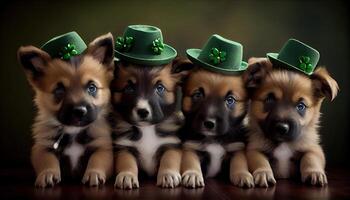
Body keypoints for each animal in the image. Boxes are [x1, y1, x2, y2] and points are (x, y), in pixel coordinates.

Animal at [17, 32, 115, 187]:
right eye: (59, 90)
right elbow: (47, 161)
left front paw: (94, 173)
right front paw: (47, 174)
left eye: (92, 87)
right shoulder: (42, 148)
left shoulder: (103, 148)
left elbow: (97, 160)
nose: (79, 111)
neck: (73, 130)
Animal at [110, 57, 191, 189]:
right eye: (129, 88)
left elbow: (169, 159)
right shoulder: (124, 147)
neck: (147, 129)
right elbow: (126, 162)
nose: (143, 112)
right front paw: (126, 175)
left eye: (160, 88)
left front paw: (168, 174)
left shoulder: (172, 144)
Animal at [243, 57, 340, 188]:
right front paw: (263, 173)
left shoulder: (314, 148)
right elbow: (259, 161)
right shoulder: (254, 150)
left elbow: (311, 158)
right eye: (269, 100)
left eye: (301, 106)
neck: (284, 144)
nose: (282, 128)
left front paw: (314, 172)